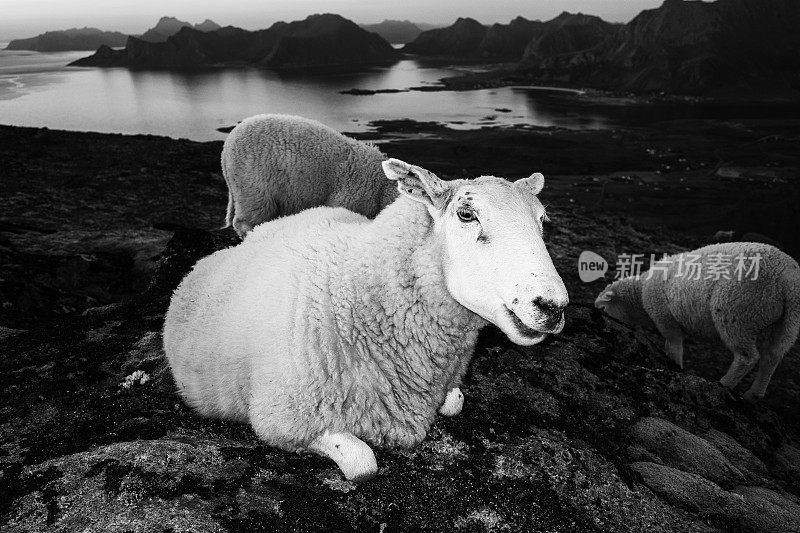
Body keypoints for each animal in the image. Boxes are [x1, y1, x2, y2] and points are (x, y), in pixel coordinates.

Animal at [166, 156, 568, 480]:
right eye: (466, 214)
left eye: (542, 221)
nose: (553, 306)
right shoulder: (282, 418)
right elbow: (363, 464)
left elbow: (455, 401)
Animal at [592, 241, 800, 400]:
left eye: (603, 309)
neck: (641, 294)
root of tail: (787, 279)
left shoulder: (664, 316)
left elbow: (674, 344)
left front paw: (676, 366)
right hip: (786, 320)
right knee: (772, 356)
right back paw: (754, 394)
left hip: (738, 310)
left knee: (747, 357)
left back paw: (723, 384)